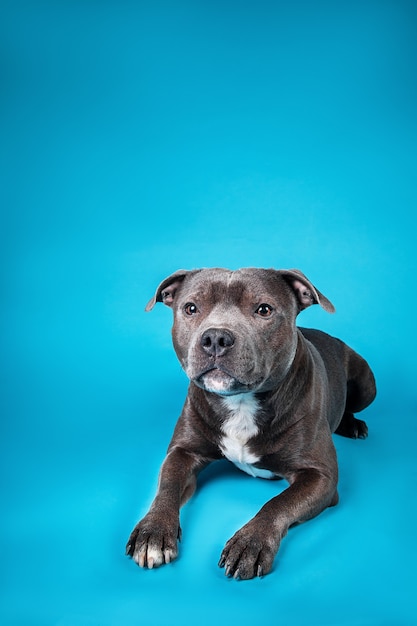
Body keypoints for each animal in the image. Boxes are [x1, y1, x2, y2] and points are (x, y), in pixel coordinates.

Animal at [125, 266, 376, 576]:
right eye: (191, 308)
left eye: (264, 309)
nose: (215, 338)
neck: (241, 403)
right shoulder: (183, 452)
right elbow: (167, 487)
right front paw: (153, 531)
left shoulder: (321, 477)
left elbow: (278, 503)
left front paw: (250, 543)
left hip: (367, 384)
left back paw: (352, 425)